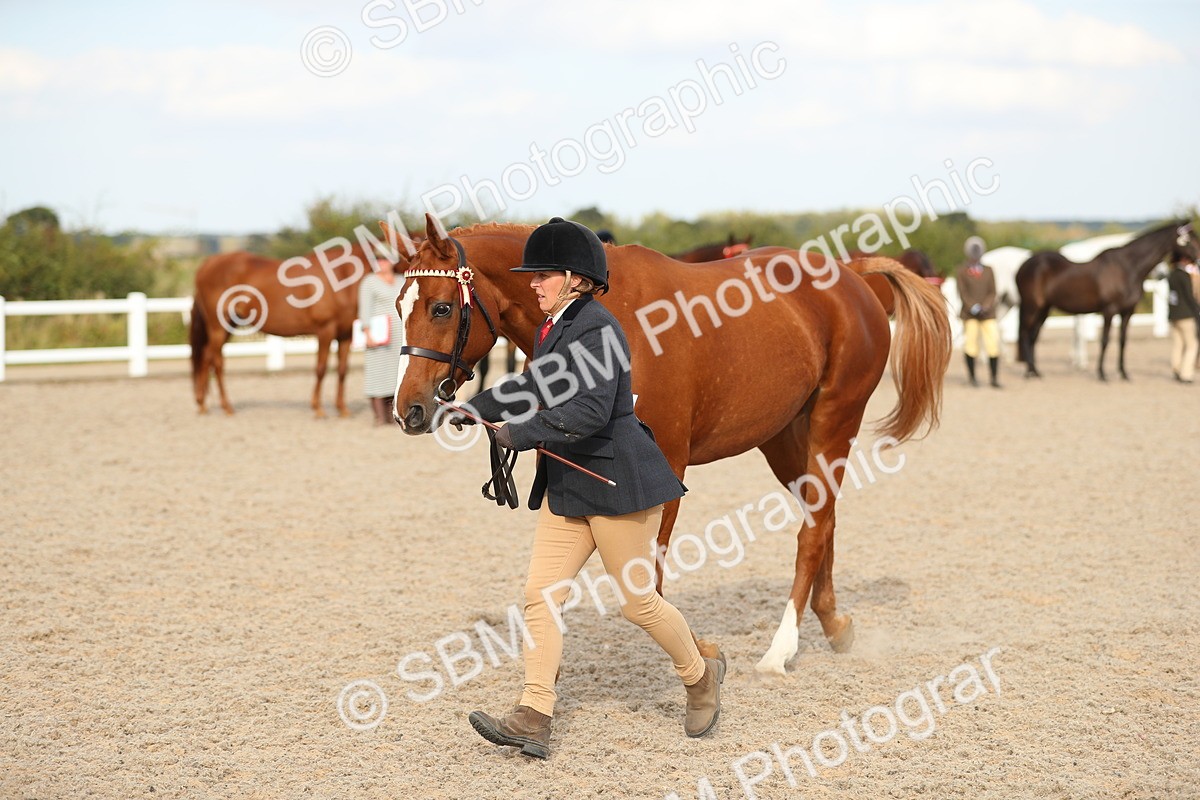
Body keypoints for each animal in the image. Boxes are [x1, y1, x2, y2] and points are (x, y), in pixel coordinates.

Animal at [190, 243, 394, 416]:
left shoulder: (345, 335)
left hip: (228, 326)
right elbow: (321, 368)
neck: (341, 273)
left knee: (207, 357)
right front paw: (318, 408)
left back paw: (202, 405)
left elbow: (342, 370)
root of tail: (207, 264)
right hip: (218, 326)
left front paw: (342, 409)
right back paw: (226, 407)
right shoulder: (325, 330)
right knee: (216, 361)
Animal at [388, 215, 951, 674]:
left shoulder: (666, 468)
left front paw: (702, 654)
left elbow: (649, 580)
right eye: (398, 306)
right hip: (785, 436)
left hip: (836, 419)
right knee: (823, 516)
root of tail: (853, 276)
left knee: (813, 531)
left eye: (441, 308)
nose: (409, 409)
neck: (607, 313)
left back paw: (781, 649)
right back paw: (834, 625)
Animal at [1016, 220, 1197, 380]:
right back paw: (1028, 373)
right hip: (1031, 307)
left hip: (1044, 309)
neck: (1126, 268)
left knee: (1033, 336)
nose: (1161, 275)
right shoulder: (1109, 310)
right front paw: (1102, 374)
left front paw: (1123, 373)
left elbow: (1123, 341)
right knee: (1025, 333)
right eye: (1188, 240)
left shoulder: (1127, 312)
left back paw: (1035, 371)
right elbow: (1104, 340)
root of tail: (1024, 265)